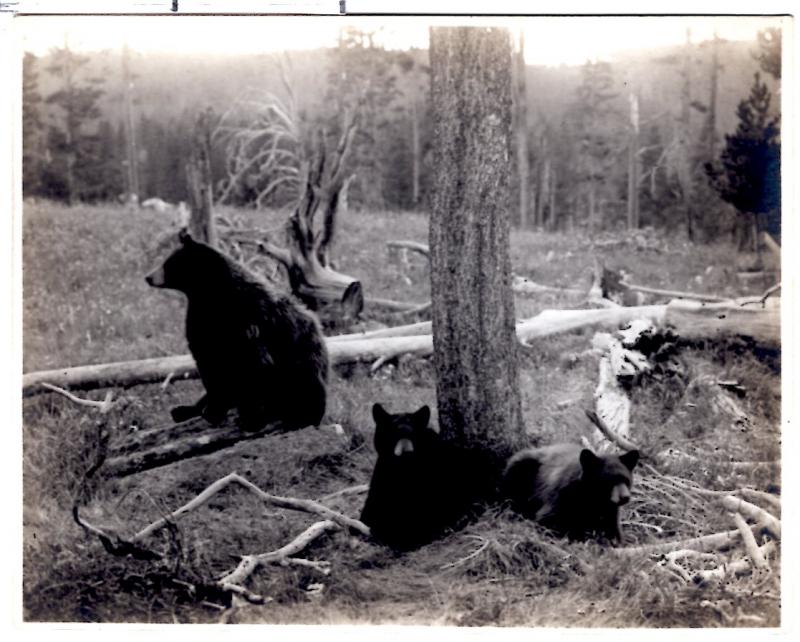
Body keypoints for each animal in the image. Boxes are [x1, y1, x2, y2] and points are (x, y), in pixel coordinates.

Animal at [146, 230, 328, 430]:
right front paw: (212, 409)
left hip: (302, 370)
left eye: (168, 263)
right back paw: (183, 410)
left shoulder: (246, 320)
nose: (148, 277)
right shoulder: (201, 322)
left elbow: (253, 365)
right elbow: (208, 363)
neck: (210, 295)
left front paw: (246, 416)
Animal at [504, 442, 640, 544]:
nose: (625, 497)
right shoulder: (562, 496)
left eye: (626, 479)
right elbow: (547, 520)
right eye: (609, 480)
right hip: (520, 467)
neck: (593, 497)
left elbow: (613, 530)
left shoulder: (610, 510)